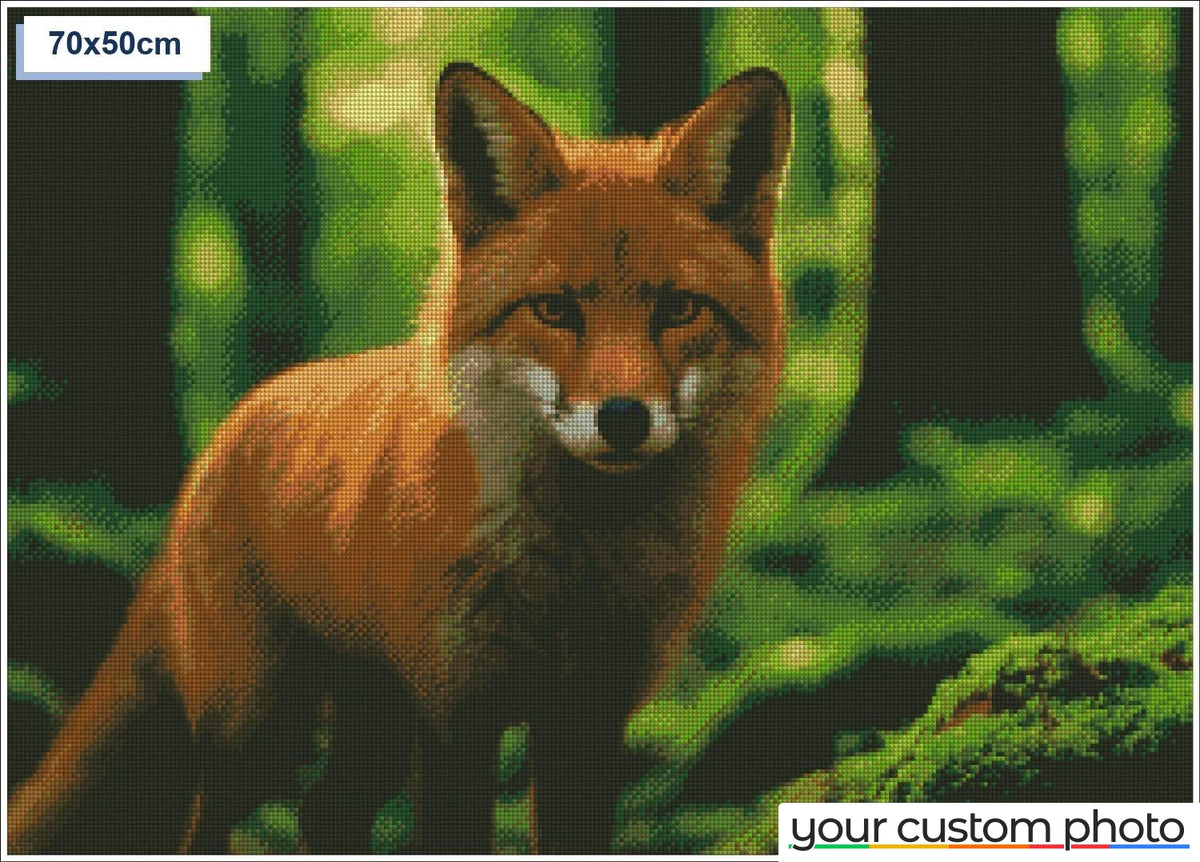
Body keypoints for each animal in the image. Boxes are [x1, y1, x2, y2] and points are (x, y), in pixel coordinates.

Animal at [7, 62, 789, 855]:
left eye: (679, 309)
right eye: (555, 310)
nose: (624, 418)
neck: (576, 563)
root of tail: (233, 423)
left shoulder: (589, 722)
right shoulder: (454, 716)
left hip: (368, 728)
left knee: (322, 811)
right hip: (256, 729)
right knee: (208, 822)